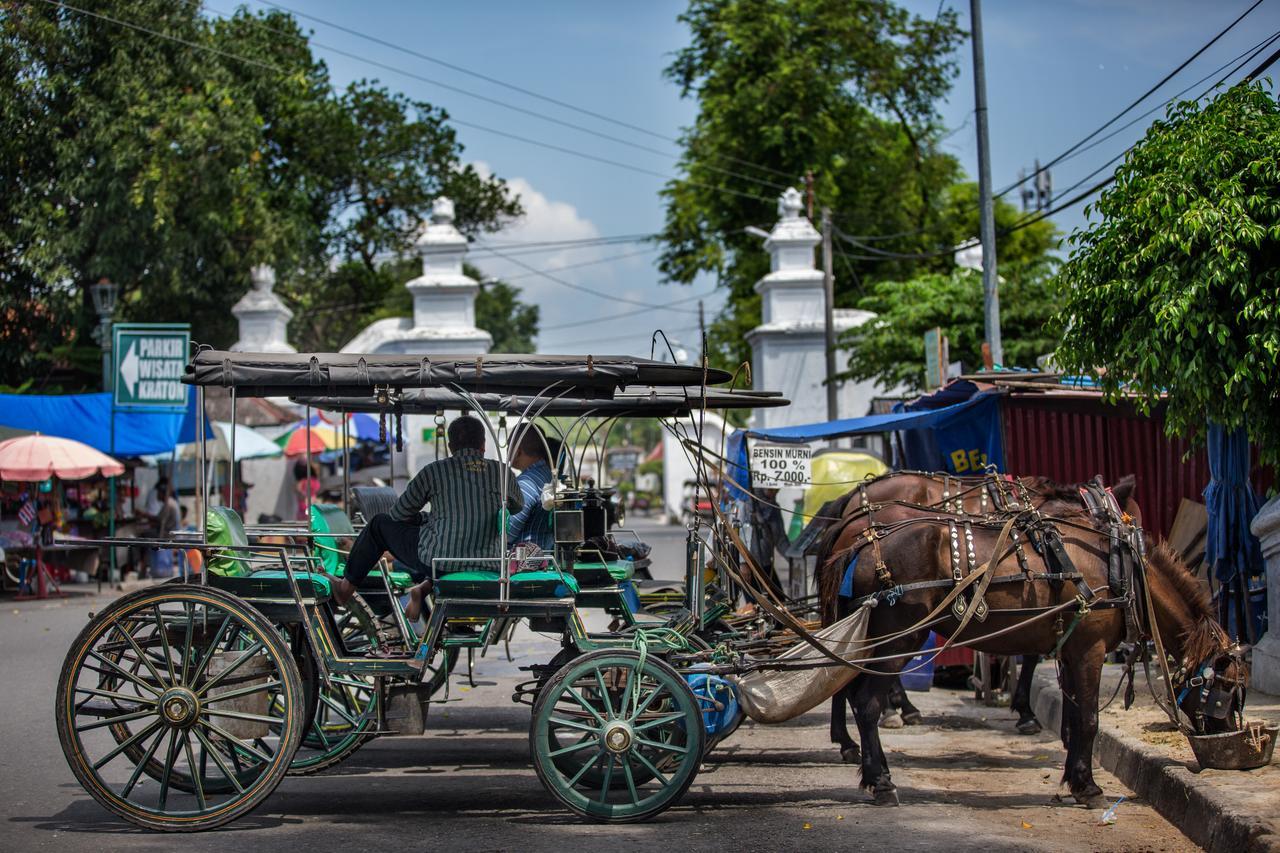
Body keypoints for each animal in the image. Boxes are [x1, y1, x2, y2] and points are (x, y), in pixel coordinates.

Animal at [814, 484, 1244, 804]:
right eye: (1225, 689)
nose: (1224, 739)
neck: (1121, 567)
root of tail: (860, 544)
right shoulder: (1090, 650)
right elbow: (1089, 719)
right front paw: (1089, 788)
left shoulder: (1072, 650)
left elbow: (1075, 715)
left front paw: (1074, 778)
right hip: (900, 637)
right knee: (866, 703)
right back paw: (880, 779)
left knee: (846, 688)